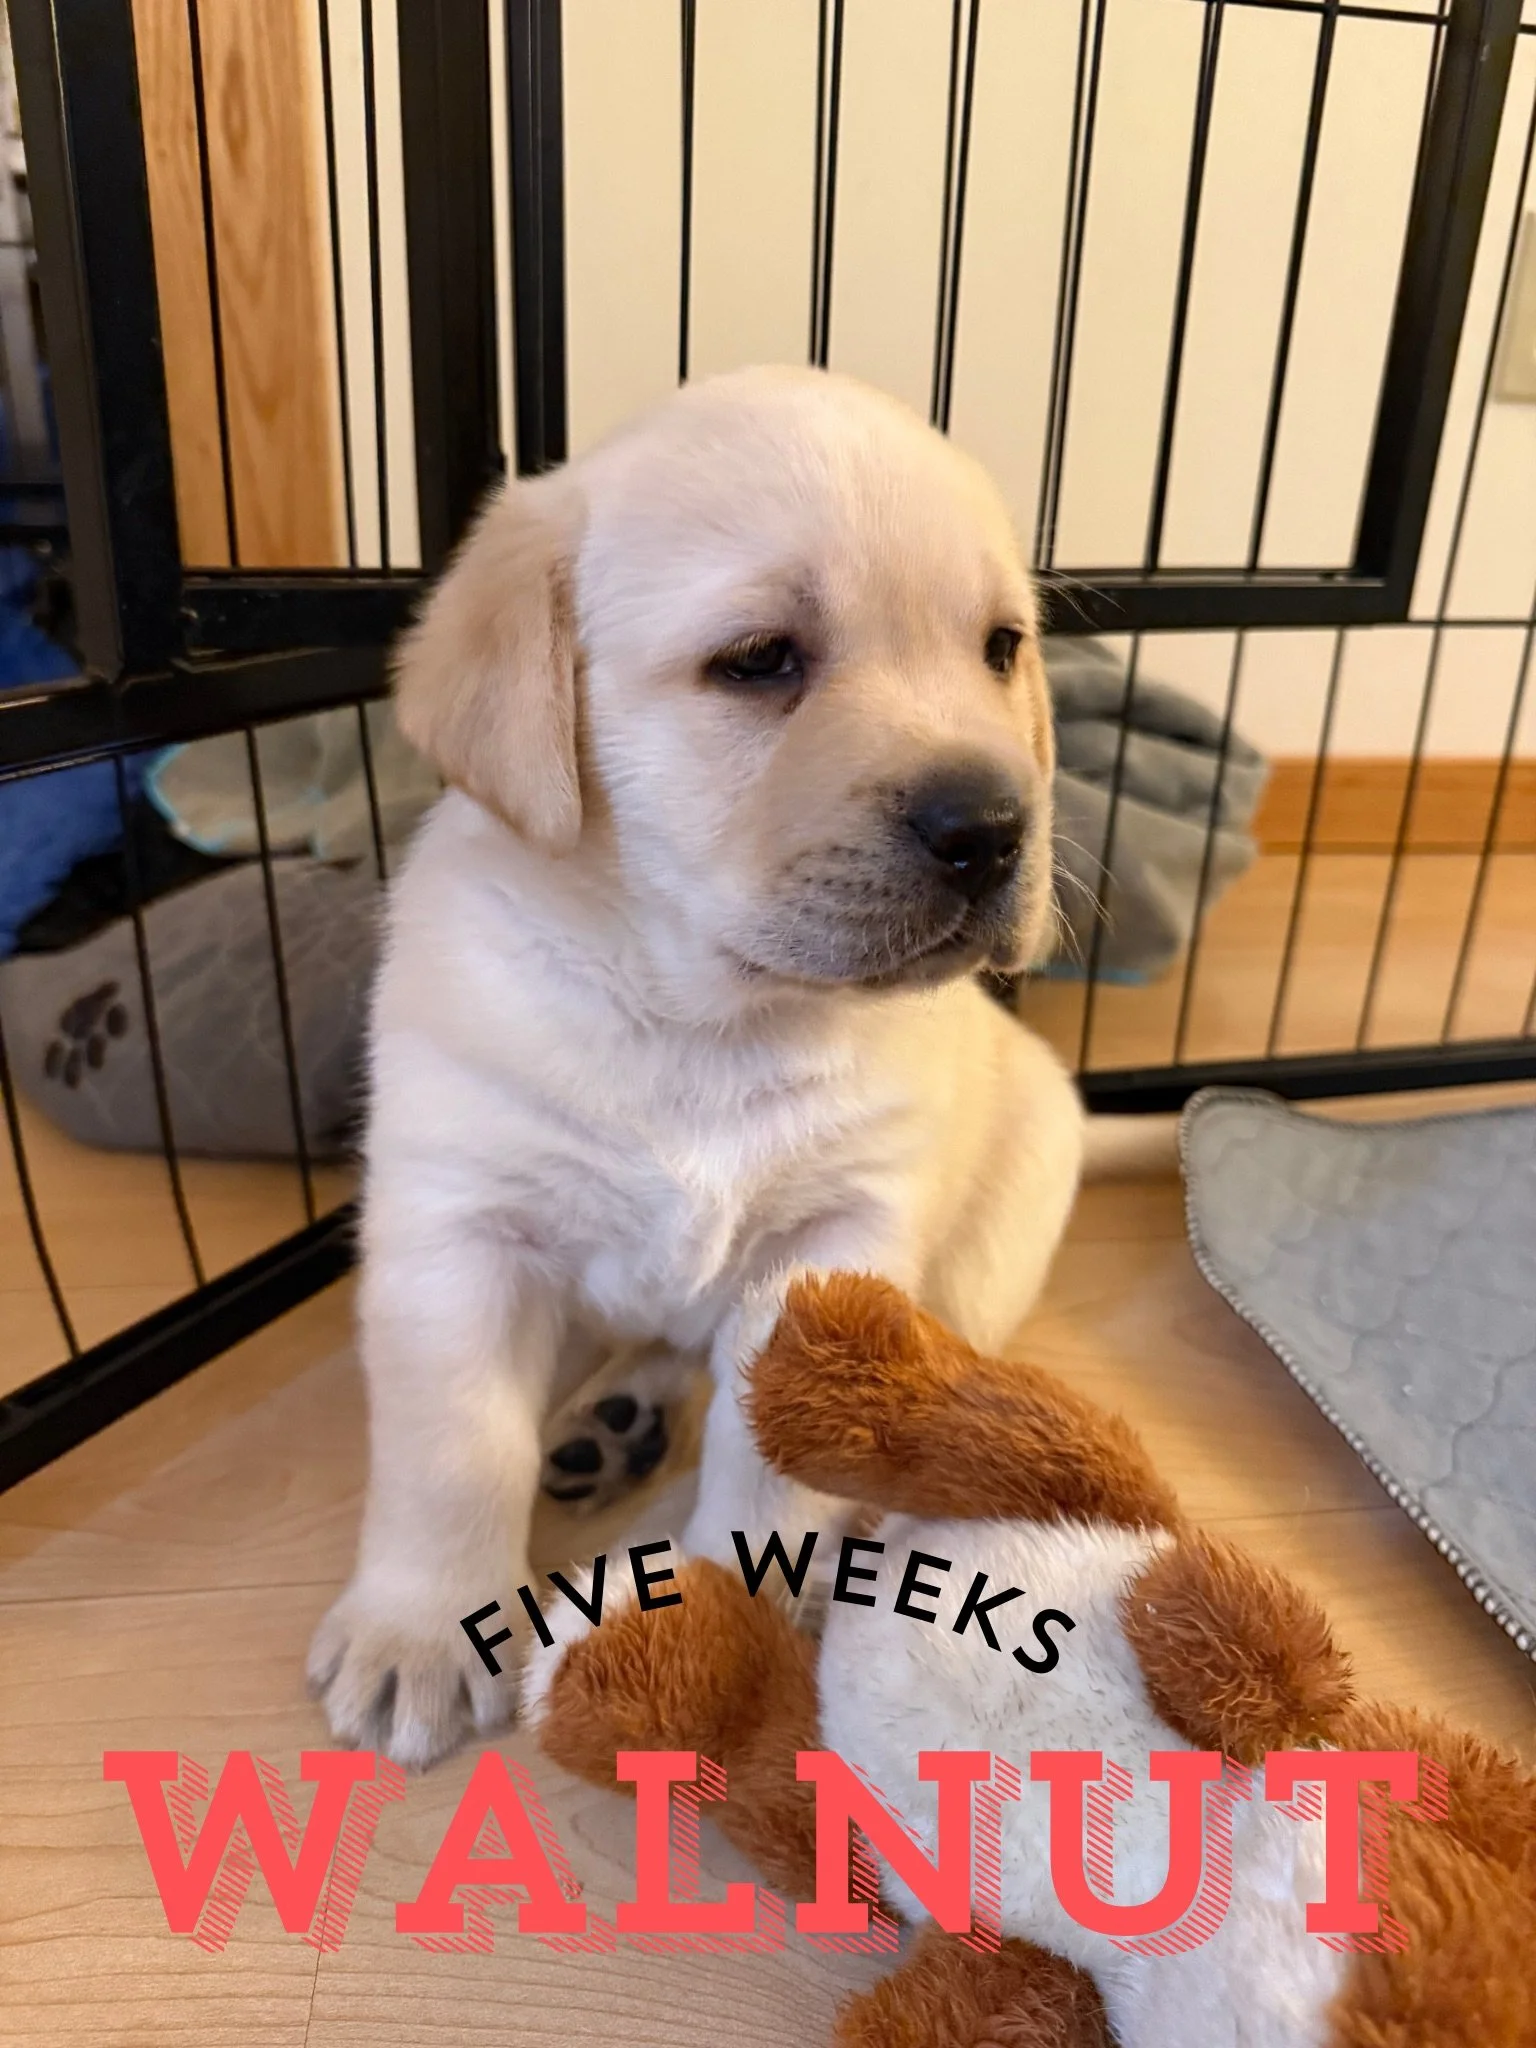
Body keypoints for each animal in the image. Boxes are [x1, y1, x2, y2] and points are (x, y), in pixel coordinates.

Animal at [308, 366, 1092, 1768]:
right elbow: (453, 1446)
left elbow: (770, 1463)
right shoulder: (458, 1226)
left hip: (1008, 1207)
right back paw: (607, 1422)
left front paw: (720, 1603)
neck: (704, 1013)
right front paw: (418, 1631)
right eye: (760, 659)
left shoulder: (832, 1249)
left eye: (1001, 647)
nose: (996, 826)